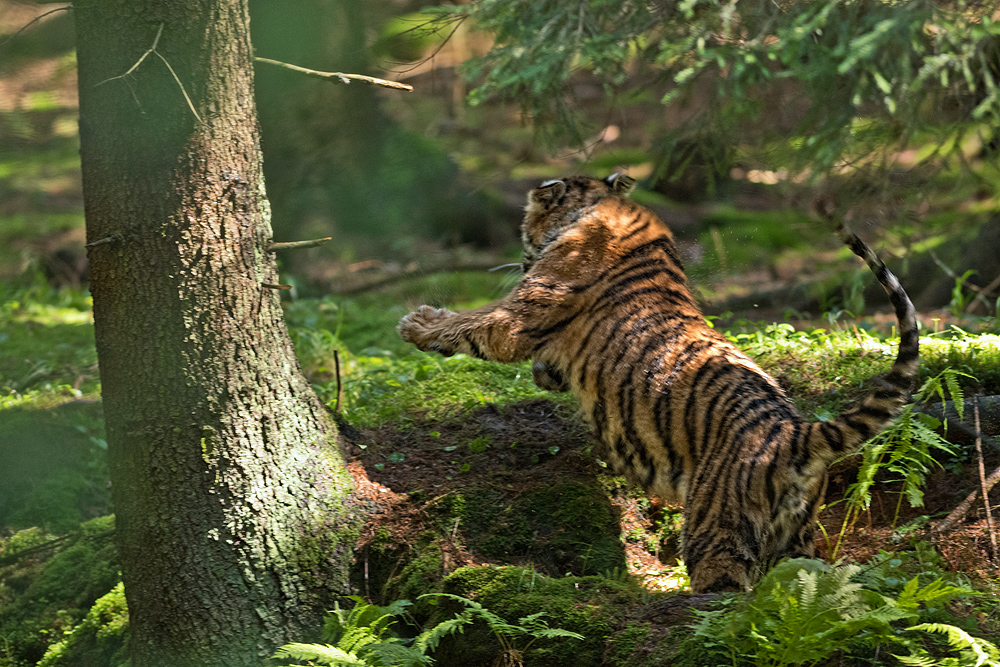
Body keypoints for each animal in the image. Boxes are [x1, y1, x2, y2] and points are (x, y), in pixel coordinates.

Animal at [397, 174, 918, 593]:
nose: (521, 256)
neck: (607, 205)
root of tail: (796, 432)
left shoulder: (519, 315)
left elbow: (471, 324)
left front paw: (417, 325)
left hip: (717, 525)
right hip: (797, 536)